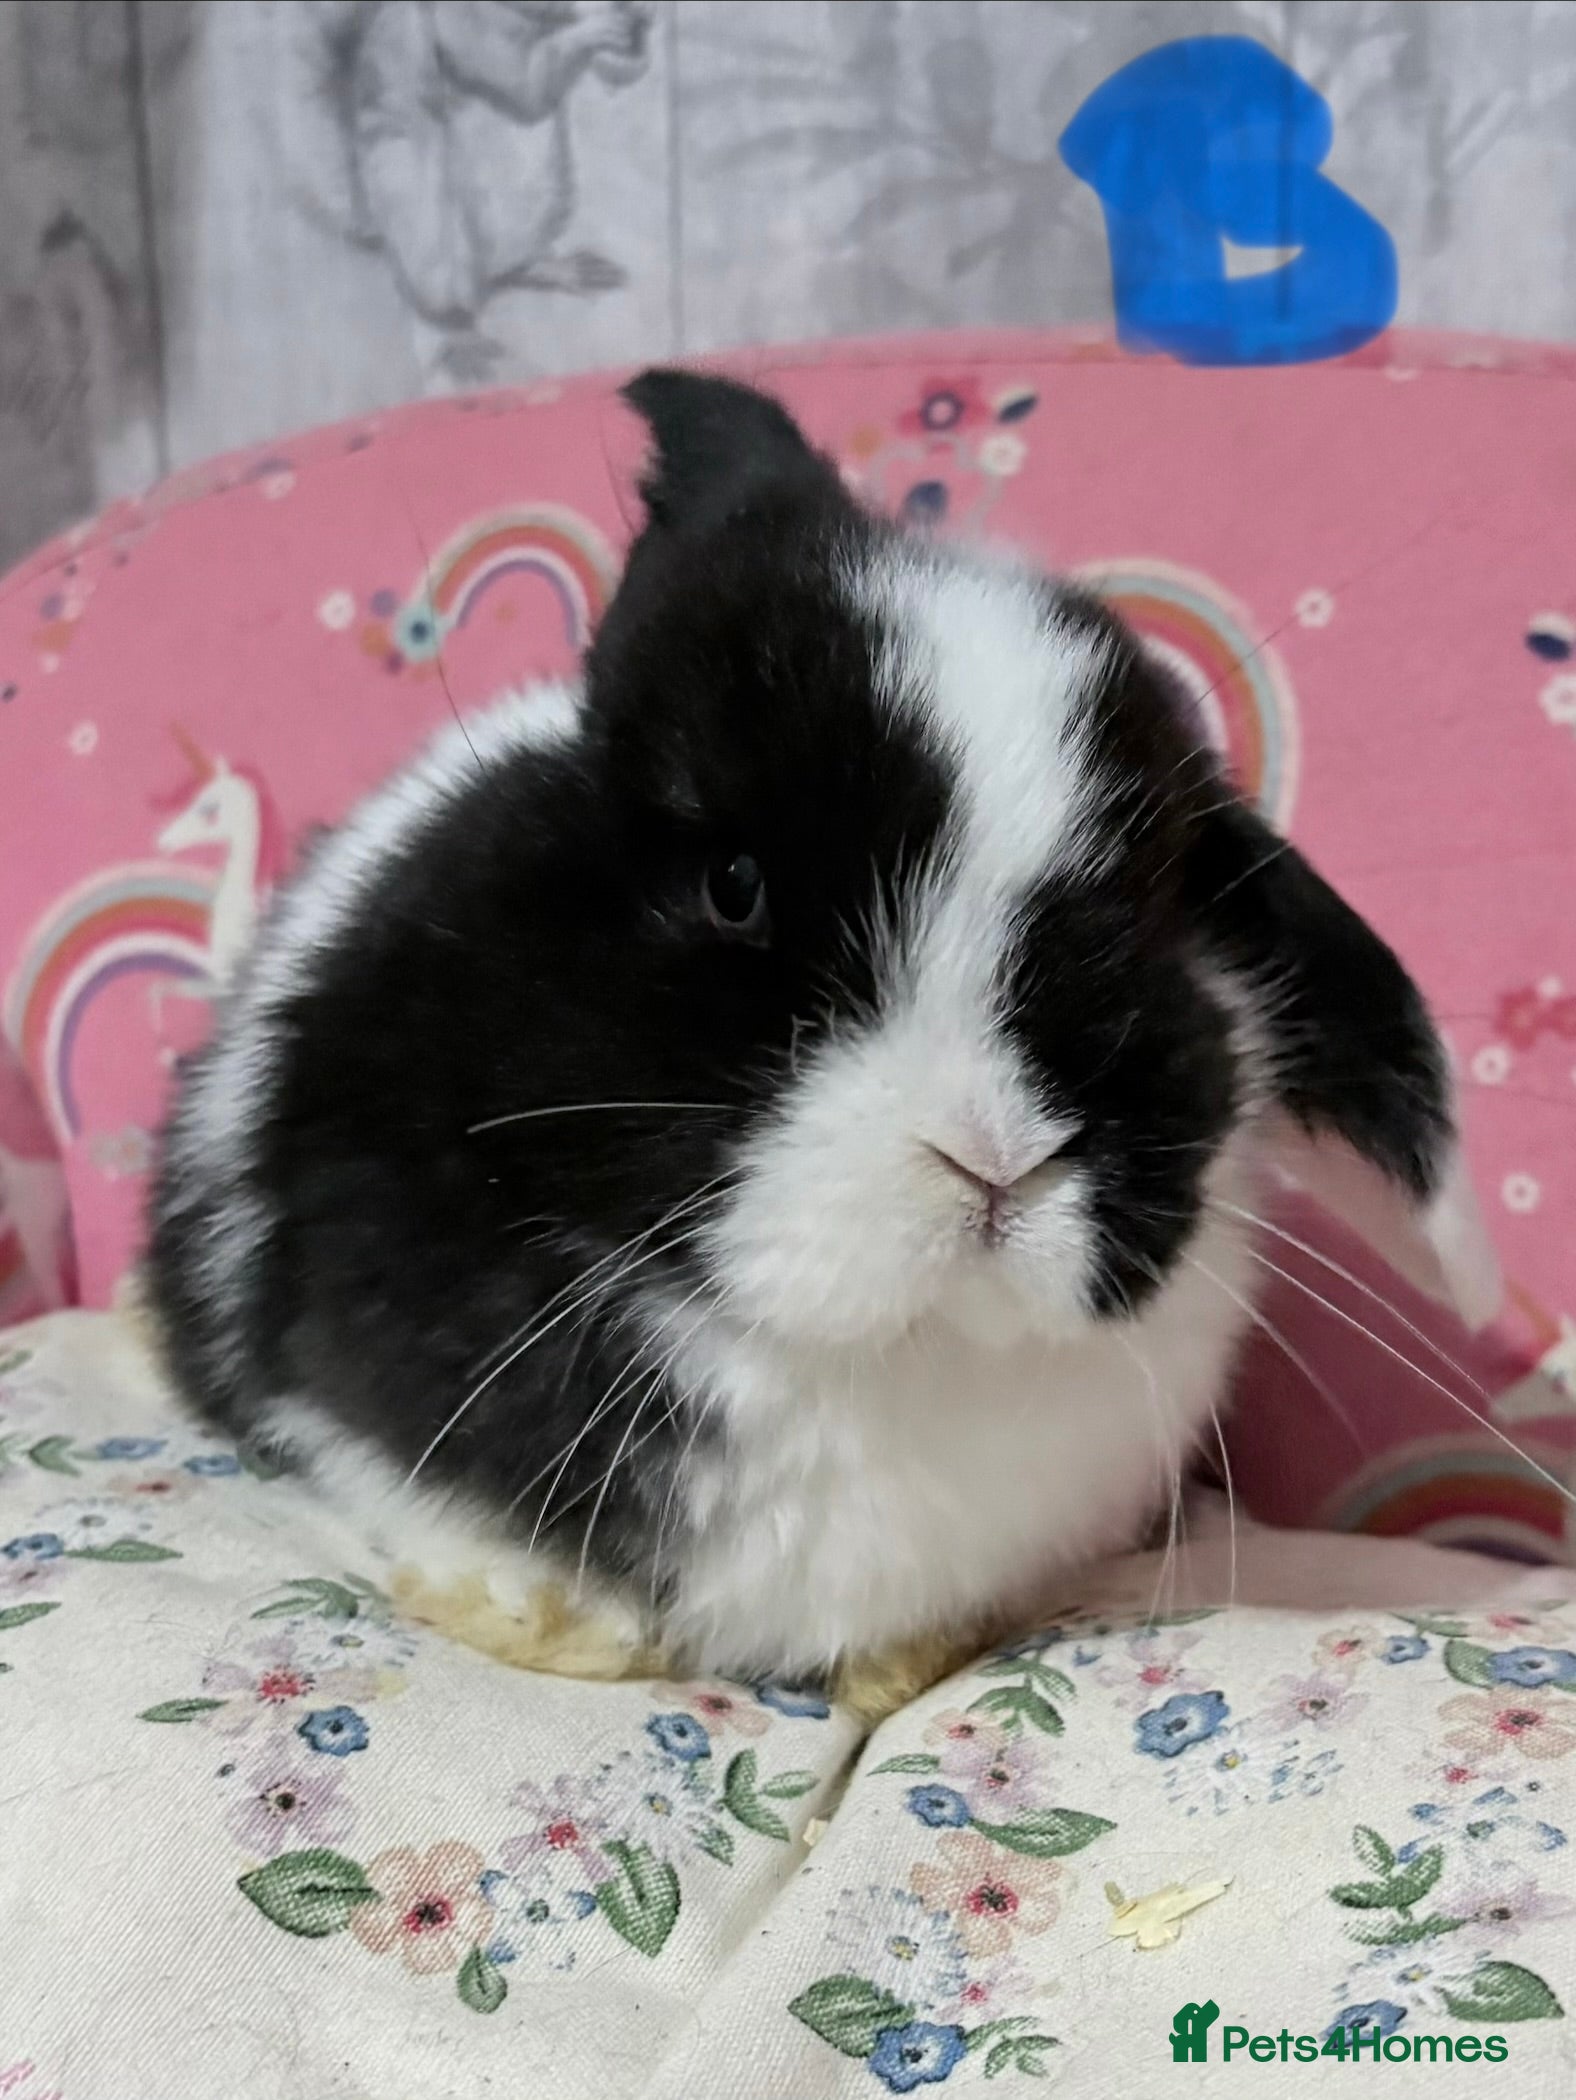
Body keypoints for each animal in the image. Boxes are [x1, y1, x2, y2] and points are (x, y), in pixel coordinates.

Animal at [144, 369, 1495, 1720]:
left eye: (1156, 924)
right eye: (733, 884)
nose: (992, 1157)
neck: (869, 1353)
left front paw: (909, 1659)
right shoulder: (327, 1371)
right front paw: (537, 1613)